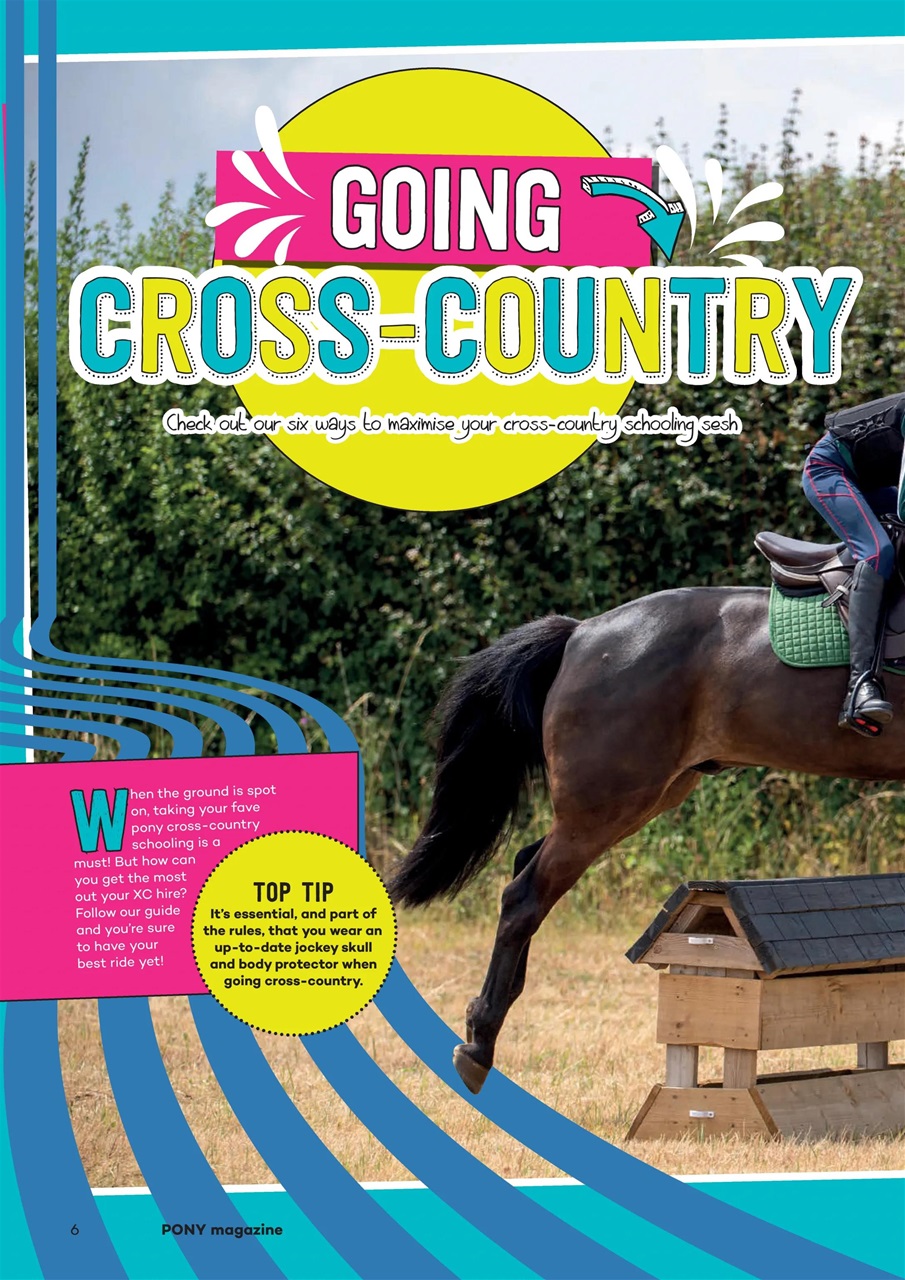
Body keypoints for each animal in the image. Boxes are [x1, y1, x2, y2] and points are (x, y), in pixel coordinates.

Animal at [389, 531, 905, 1095]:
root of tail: (581, 634)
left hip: (641, 795)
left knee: (528, 865)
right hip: (611, 799)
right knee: (525, 895)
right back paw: (479, 1044)